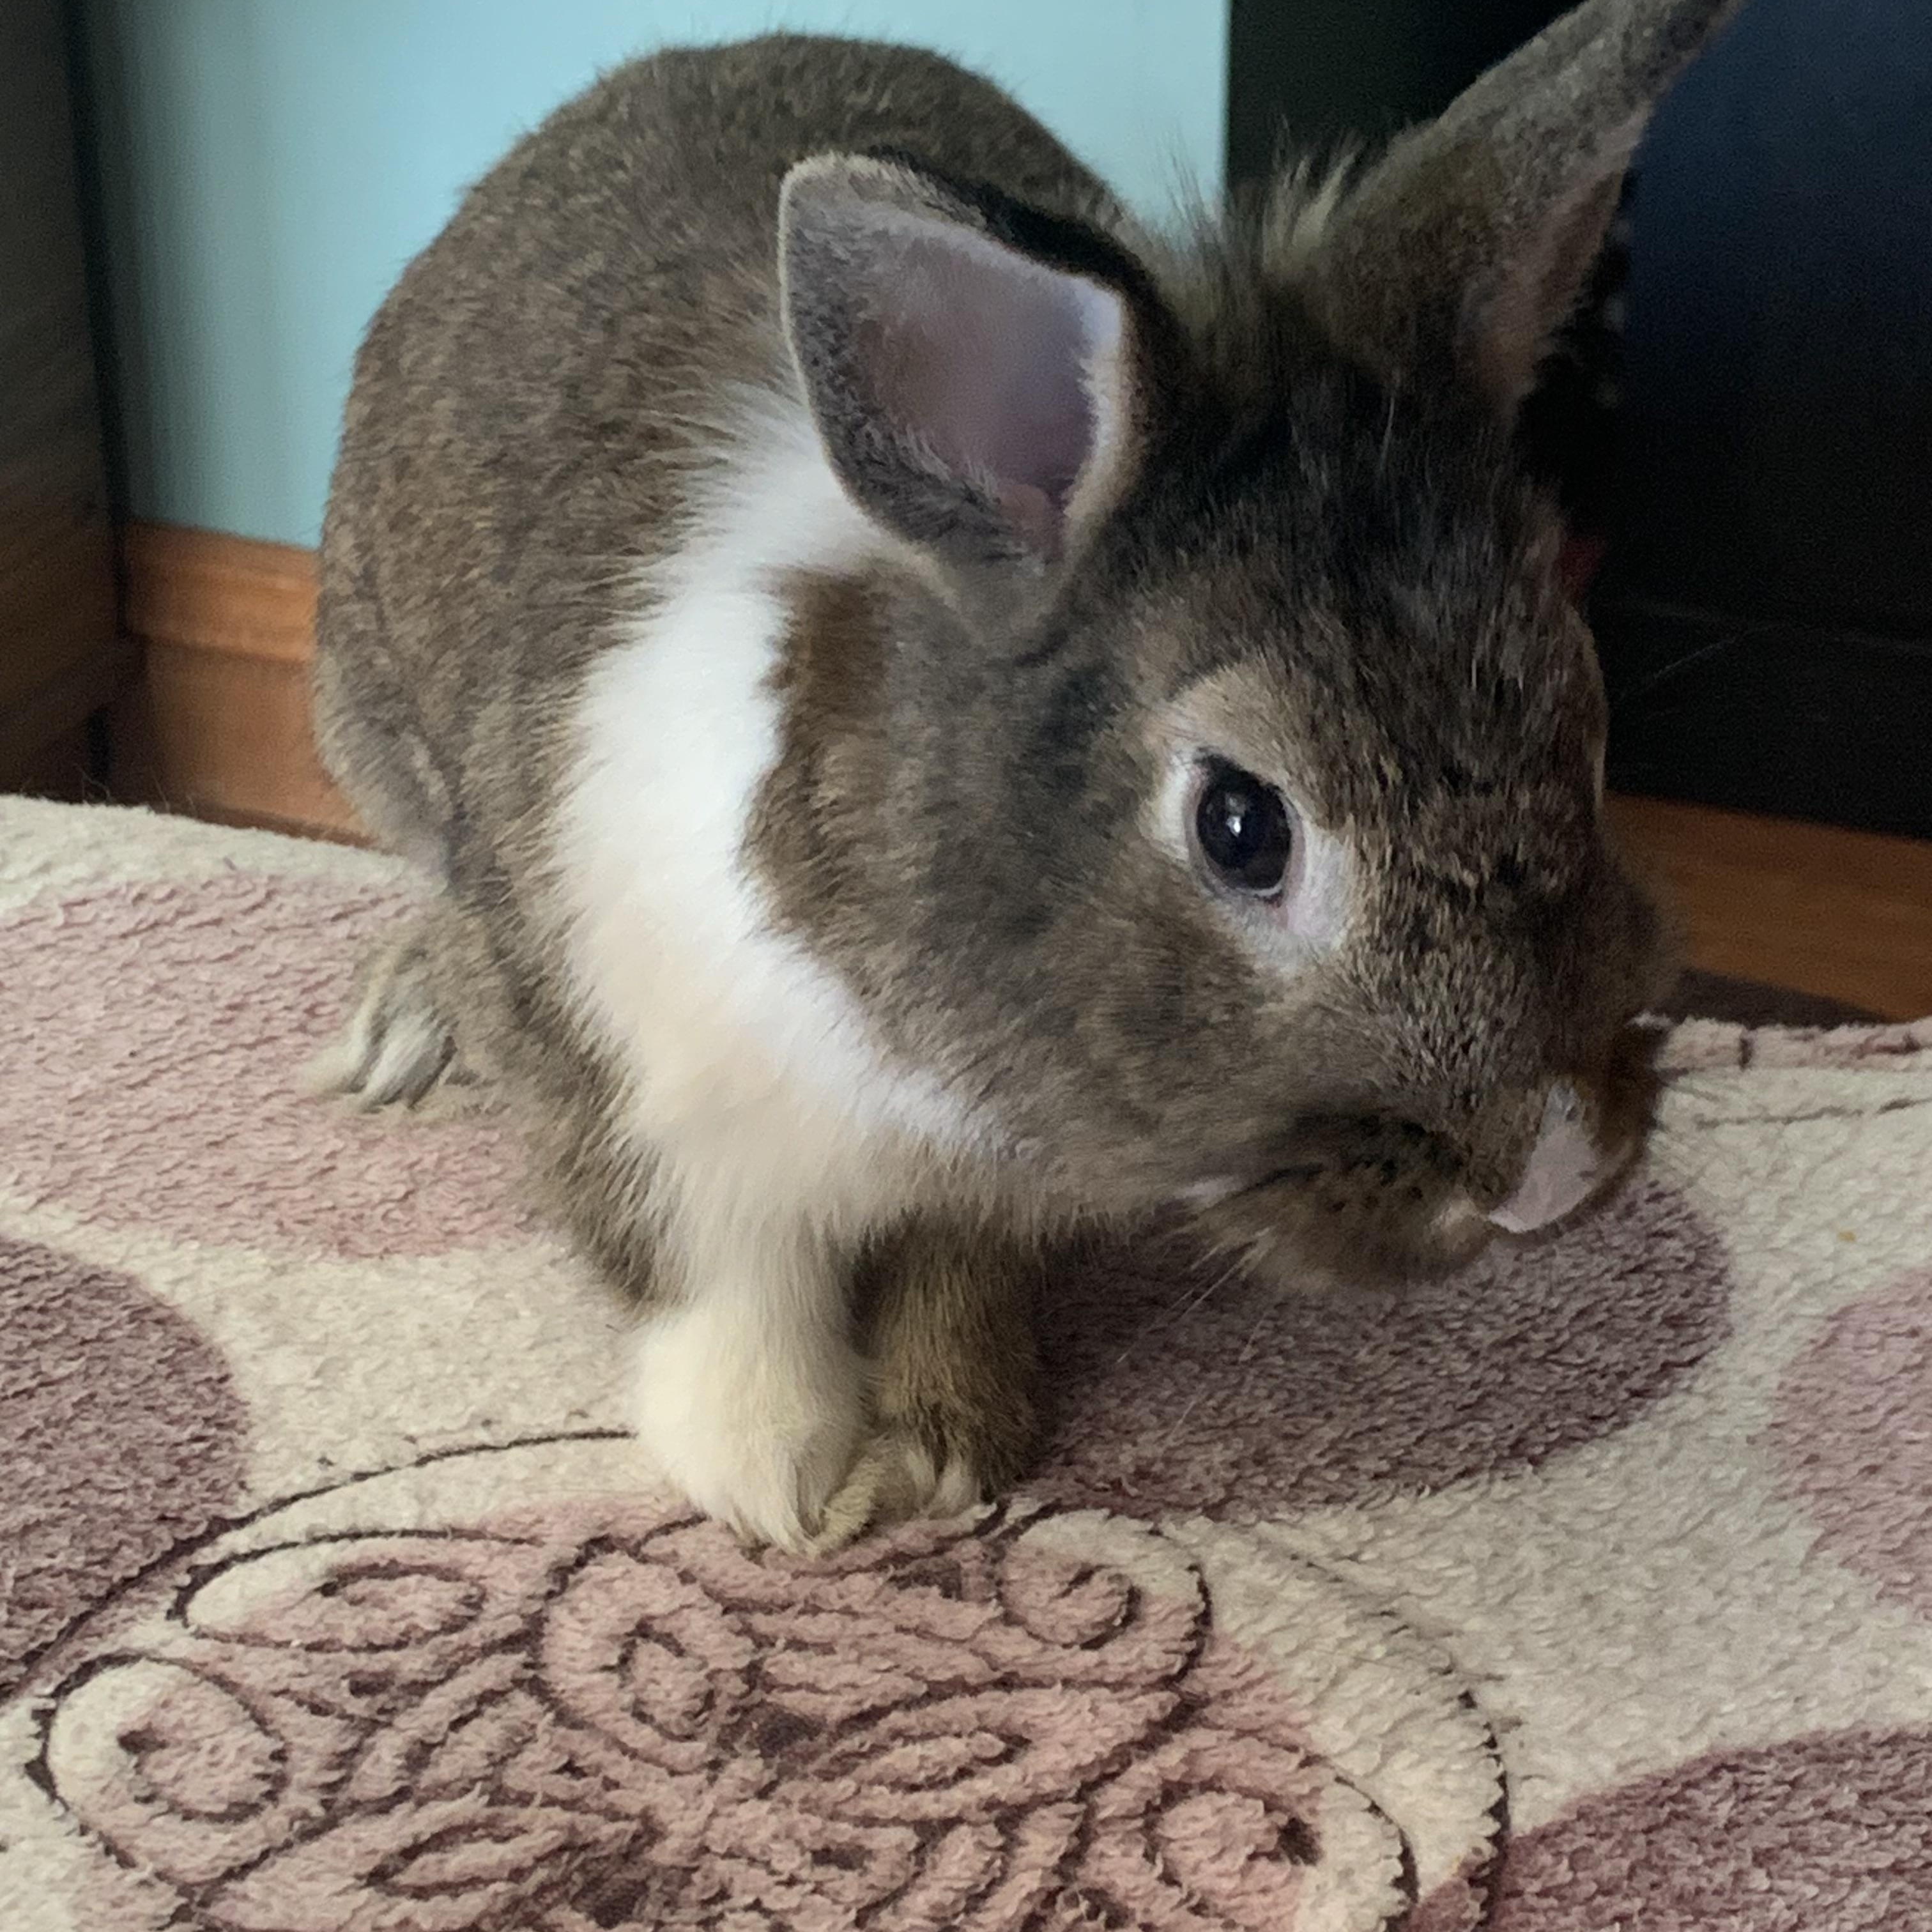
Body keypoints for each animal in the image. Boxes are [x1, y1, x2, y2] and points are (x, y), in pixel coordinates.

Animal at [312, 0, 1740, 1551]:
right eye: (1241, 827)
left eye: (1584, 724)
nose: (1553, 1168)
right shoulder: (605, 1053)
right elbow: (710, 1275)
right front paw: (781, 1481)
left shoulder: (989, 1173)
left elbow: (955, 1268)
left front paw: (942, 1442)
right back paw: (400, 1030)